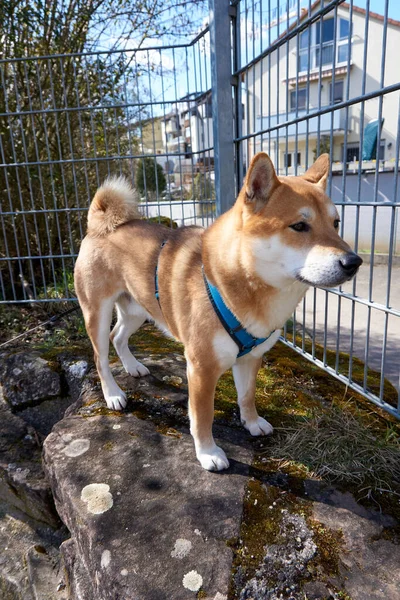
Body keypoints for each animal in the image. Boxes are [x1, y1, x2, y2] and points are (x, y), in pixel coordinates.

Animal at [75, 152, 362, 472]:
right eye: (300, 226)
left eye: (336, 223)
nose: (354, 262)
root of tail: (100, 226)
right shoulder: (201, 368)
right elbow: (203, 416)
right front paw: (208, 452)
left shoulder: (251, 357)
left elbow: (247, 396)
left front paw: (252, 423)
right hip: (97, 313)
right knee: (100, 357)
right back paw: (113, 394)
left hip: (138, 309)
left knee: (118, 336)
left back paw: (133, 366)